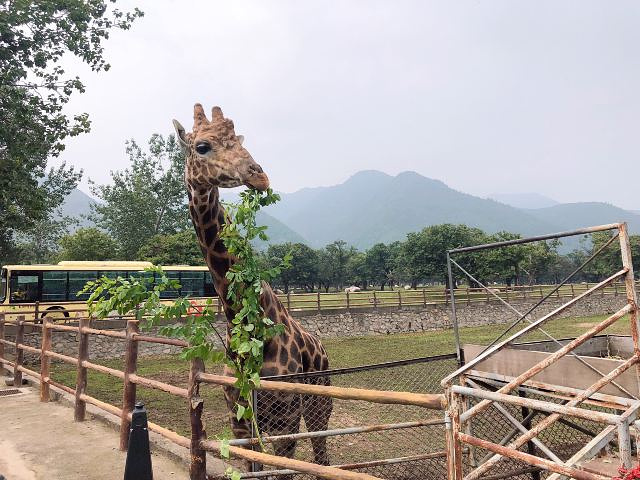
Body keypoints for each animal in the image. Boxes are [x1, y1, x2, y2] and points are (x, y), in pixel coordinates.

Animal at [175, 104, 336, 468]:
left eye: (239, 139)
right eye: (202, 146)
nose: (259, 175)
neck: (247, 322)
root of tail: (321, 347)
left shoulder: (284, 417)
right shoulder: (239, 416)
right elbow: (252, 466)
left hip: (319, 405)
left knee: (321, 456)